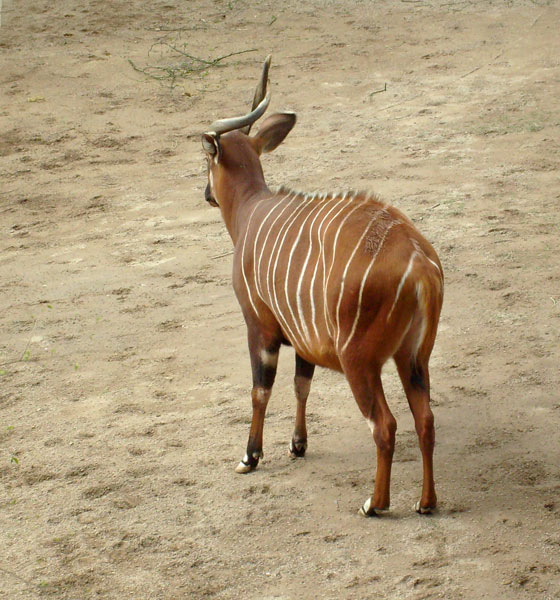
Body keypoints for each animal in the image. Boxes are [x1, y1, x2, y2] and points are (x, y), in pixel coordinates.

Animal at [200, 56, 442, 516]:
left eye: (206, 162)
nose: (205, 193)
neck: (251, 208)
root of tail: (420, 264)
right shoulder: (303, 339)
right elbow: (301, 385)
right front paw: (298, 445)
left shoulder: (260, 327)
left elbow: (260, 390)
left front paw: (249, 457)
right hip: (413, 358)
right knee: (425, 420)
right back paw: (426, 503)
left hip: (360, 361)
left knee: (385, 425)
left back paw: (374, 504)